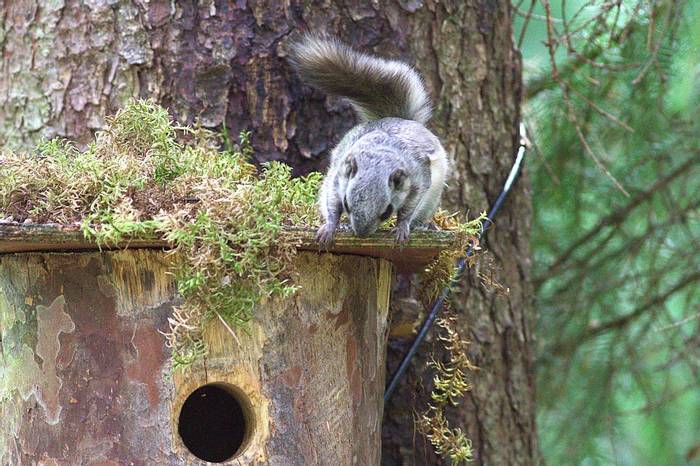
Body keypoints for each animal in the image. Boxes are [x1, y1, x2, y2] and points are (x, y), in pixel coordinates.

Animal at [288, 34, 448, 246]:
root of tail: (400, 119)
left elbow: (408, 209)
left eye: (387, 211)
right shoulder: (339, 178)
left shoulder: (418, 180)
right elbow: (332, 203)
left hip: (431, 198)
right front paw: (330, 227)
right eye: (346, 203)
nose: (362, 234)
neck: (380, 154)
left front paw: (402, 228)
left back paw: (422, 226)